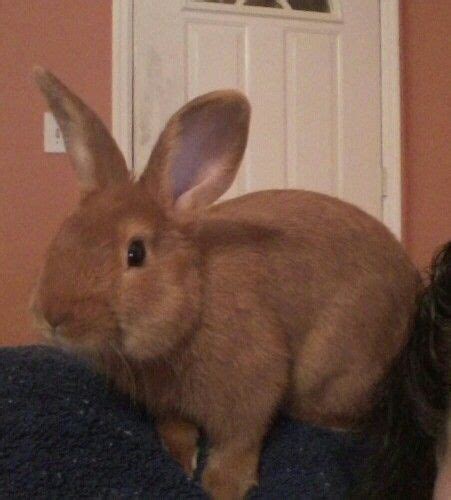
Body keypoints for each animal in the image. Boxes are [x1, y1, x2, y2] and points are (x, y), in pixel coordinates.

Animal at [33, 67, 422, 500]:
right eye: (64, 231)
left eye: (135, 253)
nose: (52, 316)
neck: (195, 300)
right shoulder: (167, 404)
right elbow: (175, 428)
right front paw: (182, 458)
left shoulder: (253, 387)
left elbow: (239, 442)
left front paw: (222, 486)